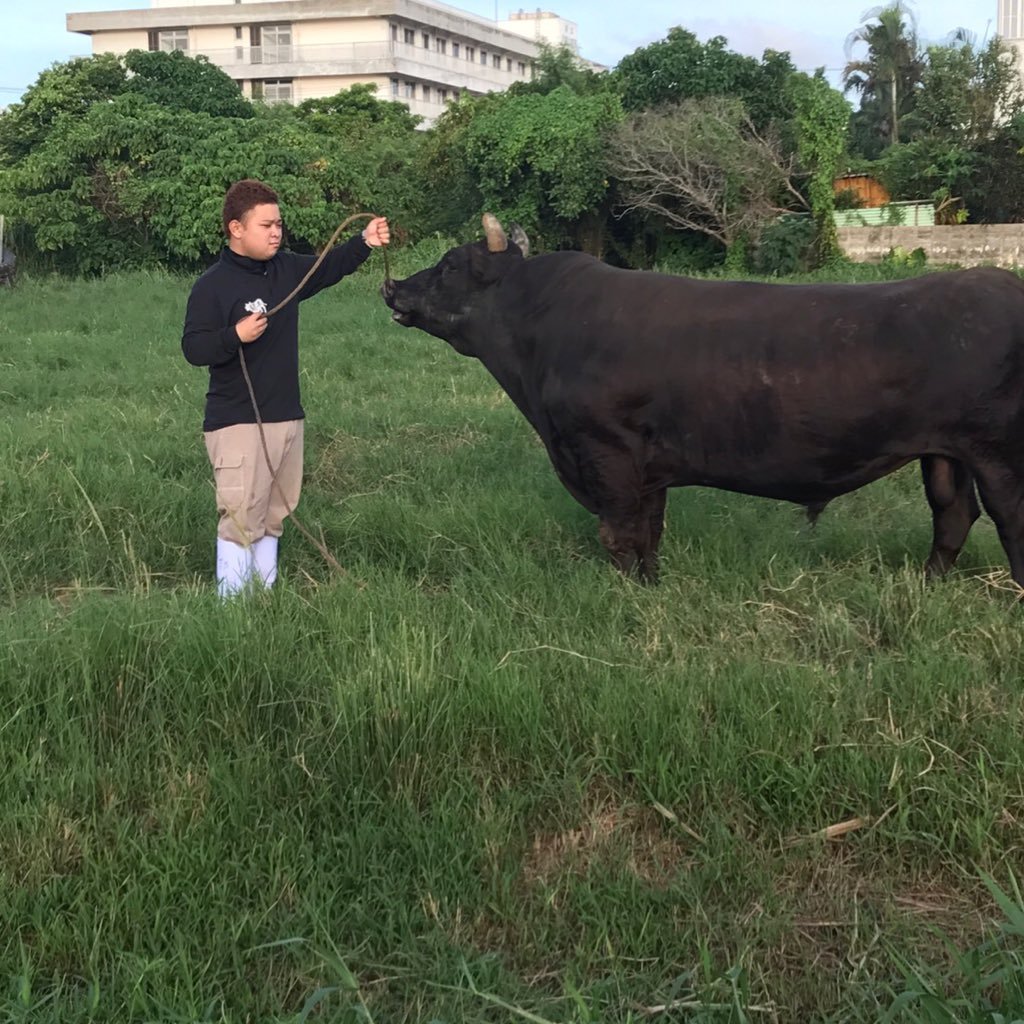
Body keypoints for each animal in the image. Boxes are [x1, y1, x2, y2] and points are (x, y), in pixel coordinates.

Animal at [382, 215, 1024, 585]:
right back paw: (927, 585)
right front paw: (651, 587)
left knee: (1008, 519)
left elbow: (619, 534)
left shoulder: (605, 451)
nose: (391, 286)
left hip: (999, 453)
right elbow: (650, 532)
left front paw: (626, 597)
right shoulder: (648, 467)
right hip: (945, 451)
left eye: (450, 265)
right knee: (952, 515)